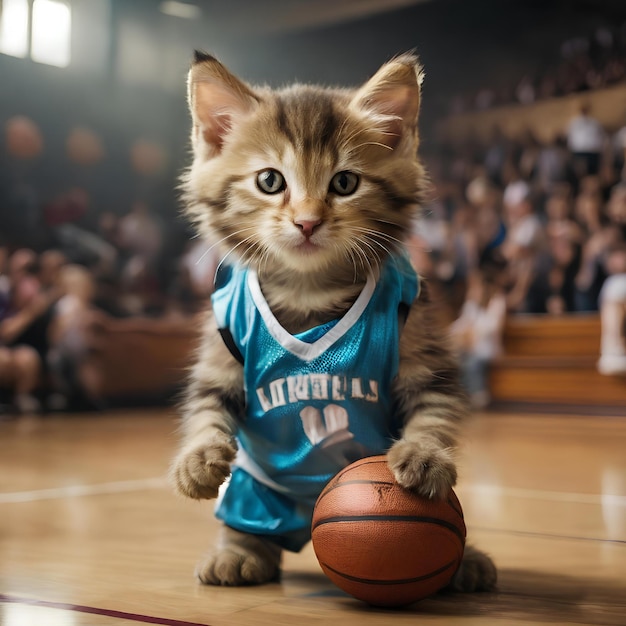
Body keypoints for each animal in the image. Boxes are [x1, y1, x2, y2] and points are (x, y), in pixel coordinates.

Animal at [169, 50, 492, 588]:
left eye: (345, 183)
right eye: (270, 181)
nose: (307, 221)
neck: (309, 288)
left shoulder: (421, 343)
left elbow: (433, 410)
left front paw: (424, 456)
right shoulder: (223, 343)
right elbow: (207, 408)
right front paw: (198, 460)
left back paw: (465, 563)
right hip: (257, 492)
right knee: (248, 517)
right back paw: (239, 551)